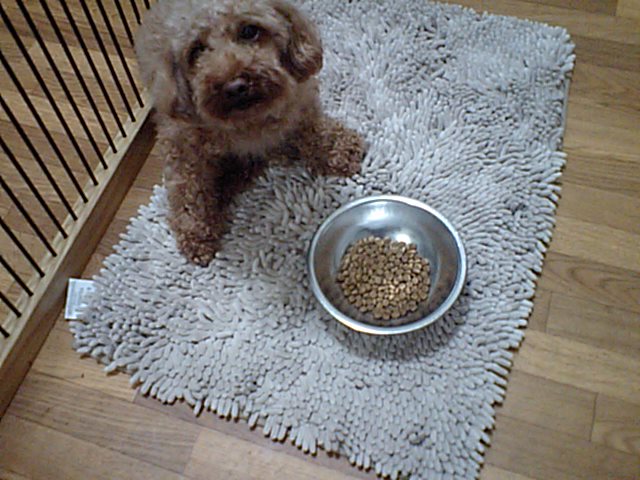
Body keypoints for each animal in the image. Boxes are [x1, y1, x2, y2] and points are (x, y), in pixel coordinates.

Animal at [136, 0, 365, 265]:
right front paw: (196, 234)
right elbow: (188, 189)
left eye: (249, 31)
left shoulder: (299, 104)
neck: (249, 121)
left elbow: (314, 130)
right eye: (196, 50)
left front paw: (338, 150)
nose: (235, 87)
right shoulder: (182, 143)